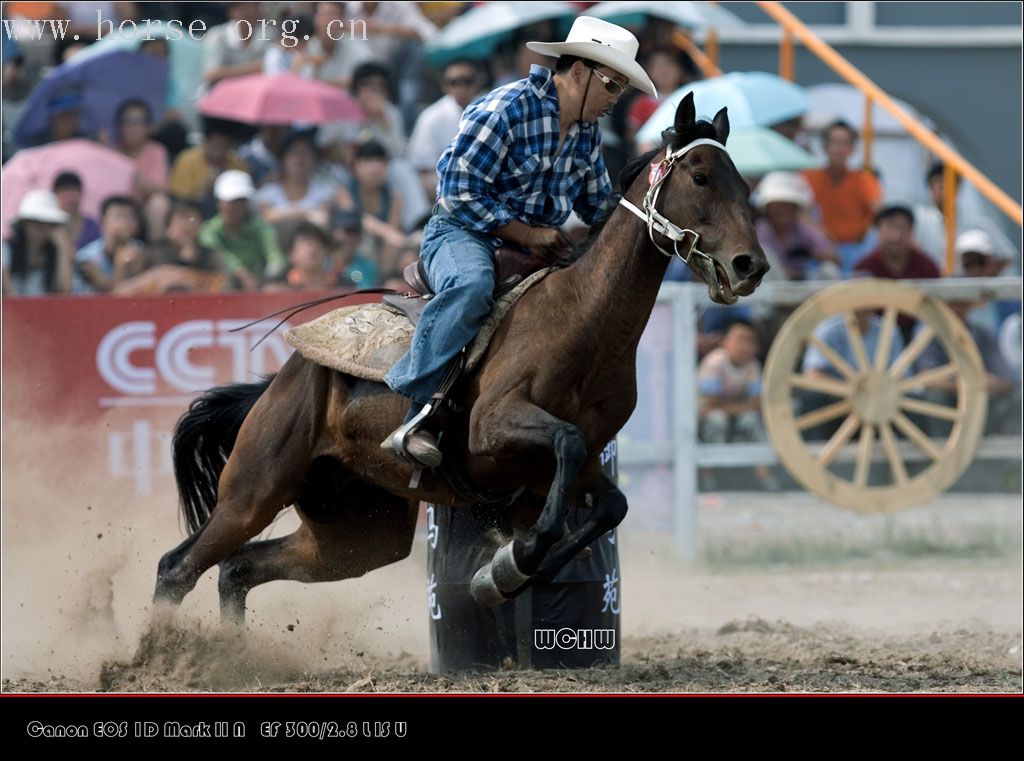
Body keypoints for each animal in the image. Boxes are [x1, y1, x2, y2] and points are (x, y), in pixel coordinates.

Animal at [153, 92, 770, 622]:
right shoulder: (491, 428)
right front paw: (513, 561)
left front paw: (502, 573)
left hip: (355, 532)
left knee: (238, 569)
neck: (582, 320)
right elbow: (563, 451)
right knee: (178, 566)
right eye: (700, 177)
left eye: (744, 183)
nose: (752, 266)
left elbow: (609, 505)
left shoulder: (566, 467)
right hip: (255, 490)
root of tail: (288, 374)